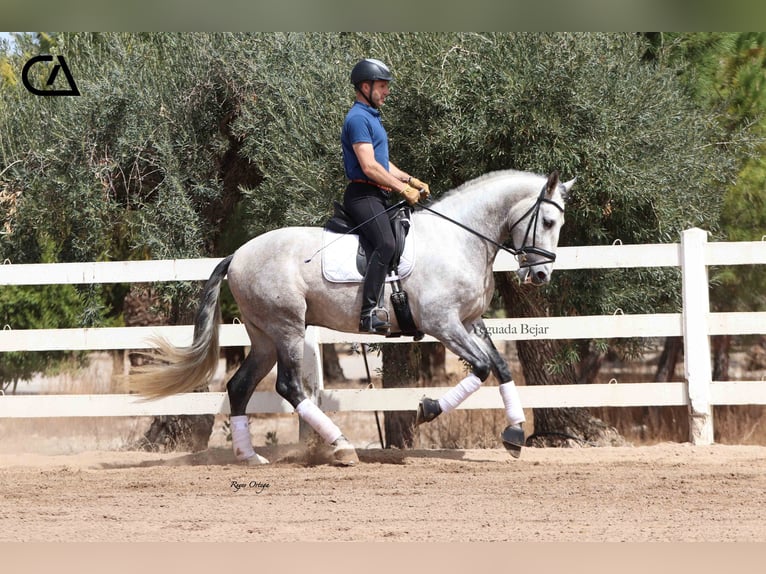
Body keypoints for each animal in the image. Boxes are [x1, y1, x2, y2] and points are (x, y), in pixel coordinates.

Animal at [134, 171, 576, 468]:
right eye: (548, 222)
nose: (540, 275)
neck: (460, 240)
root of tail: (237, 254)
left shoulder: (469, 322)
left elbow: (501, 367)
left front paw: (515, 433)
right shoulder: (443, 324)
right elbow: (483, 368)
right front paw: (428, 408)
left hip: (264, 337)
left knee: (240, 386)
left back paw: (249, 456)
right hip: (287, 329)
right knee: (289, 386)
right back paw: (342, 446)